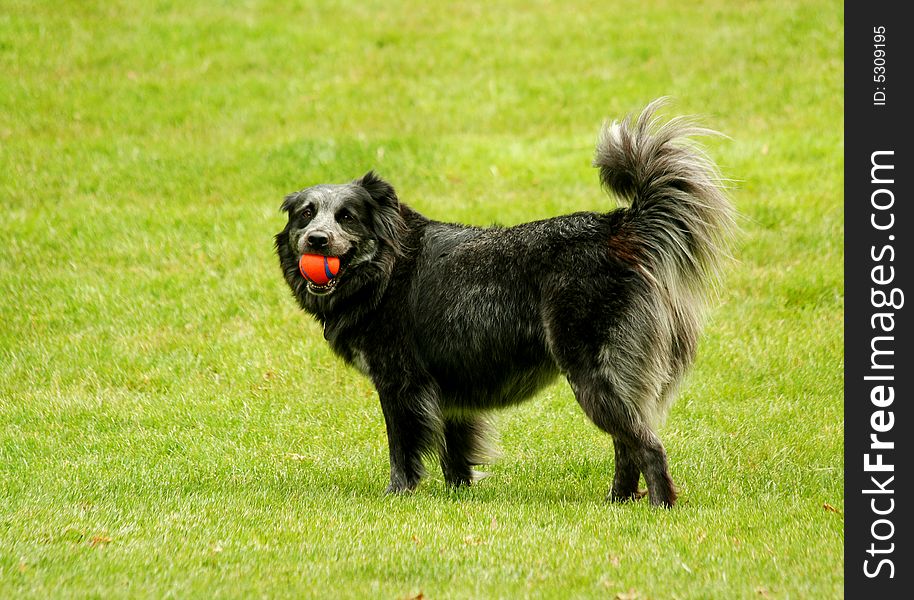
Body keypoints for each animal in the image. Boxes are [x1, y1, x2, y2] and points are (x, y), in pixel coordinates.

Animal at [274, 99, 732, 506]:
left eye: (347, 216)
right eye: (305, 214)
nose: (317, 240)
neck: (385, 269)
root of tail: (618, 228)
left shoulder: (400, 385)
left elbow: (402, 452)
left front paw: (398, 495)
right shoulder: (451, 391)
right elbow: (455, 455)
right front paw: (457, 496)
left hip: (595, 373)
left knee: (646, 445)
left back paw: (659, 505)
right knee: (627, 444)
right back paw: (618, 500)